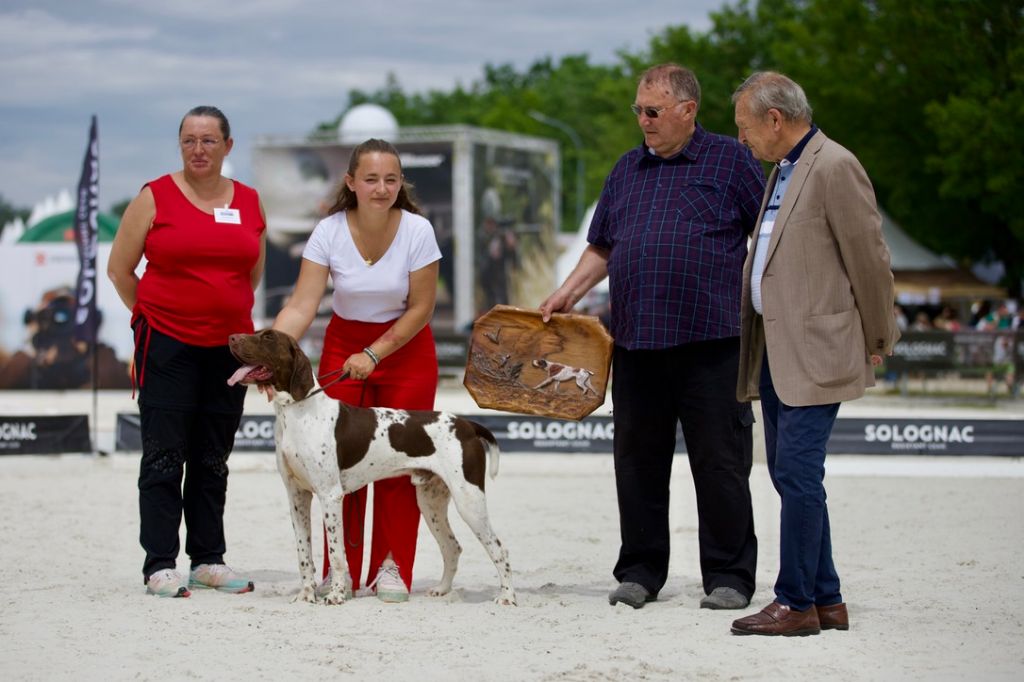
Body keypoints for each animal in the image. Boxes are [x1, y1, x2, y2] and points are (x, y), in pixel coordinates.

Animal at [224, 327, 512, 602]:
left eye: (268, 337)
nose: (232, 337)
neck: (296, 411)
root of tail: (467, 424)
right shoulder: (297, 496)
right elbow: (304, 554)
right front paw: (306, 595)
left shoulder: (330, 496)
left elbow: (337, 554)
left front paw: (337, 595)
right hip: (431, 502)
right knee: (452, 547)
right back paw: (442, 590)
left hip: (469, 500)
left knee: (500, 549)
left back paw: (507, 596)